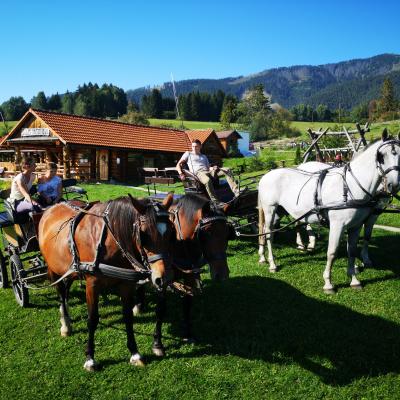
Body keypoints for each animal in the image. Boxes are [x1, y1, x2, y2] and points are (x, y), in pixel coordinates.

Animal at [38, 192, 174, 370]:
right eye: (144, 235)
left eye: (171, 233)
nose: (163, 278)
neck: (108, 240)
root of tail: (52, 208)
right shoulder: (92, 285)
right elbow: (92, 319)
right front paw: (90, 358)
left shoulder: (126, 284)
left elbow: (128, 317)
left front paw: (135, 353)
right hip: (53, 269)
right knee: (61, 293)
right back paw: (65, 323)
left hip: (71, 269)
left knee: (66, 288)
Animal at [135, 194, 234, 356]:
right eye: (207, 232)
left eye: (227, 233)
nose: (222, 275)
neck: (180, 242)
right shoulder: (162, 279)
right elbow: (160, 309)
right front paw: (157, 343)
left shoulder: (189, 277)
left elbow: (187, 304)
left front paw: (188, 334)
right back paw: (138, 304)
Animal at [258, 132, 398, 294]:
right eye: (381, 156)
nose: (393, 185)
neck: (350, 187)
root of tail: (266, 176)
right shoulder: (338, 225)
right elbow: (332, 252)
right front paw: (328, 283)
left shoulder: (356, 225)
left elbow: (352, 250)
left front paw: (354, 279)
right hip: (270, 209)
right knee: (269, 234)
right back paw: (272, 264)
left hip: (280, 211)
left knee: (270, 231)